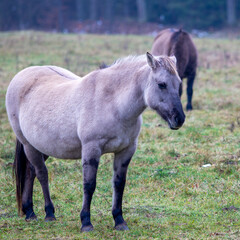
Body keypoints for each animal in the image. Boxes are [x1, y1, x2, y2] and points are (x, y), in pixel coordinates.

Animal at [6, 52, 186, 231]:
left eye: (179, 84)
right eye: (161, 84)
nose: (179, 119)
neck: (113, 104)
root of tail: (22, 75)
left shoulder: (126, 150)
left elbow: (119, 184)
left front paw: (119, 221)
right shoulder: (91, 149)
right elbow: (89, 185)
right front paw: (86, 222)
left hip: (42, 146)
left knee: (30, 172)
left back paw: (30, 211)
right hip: (28, 145)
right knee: (41, 174)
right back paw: (48, 213)